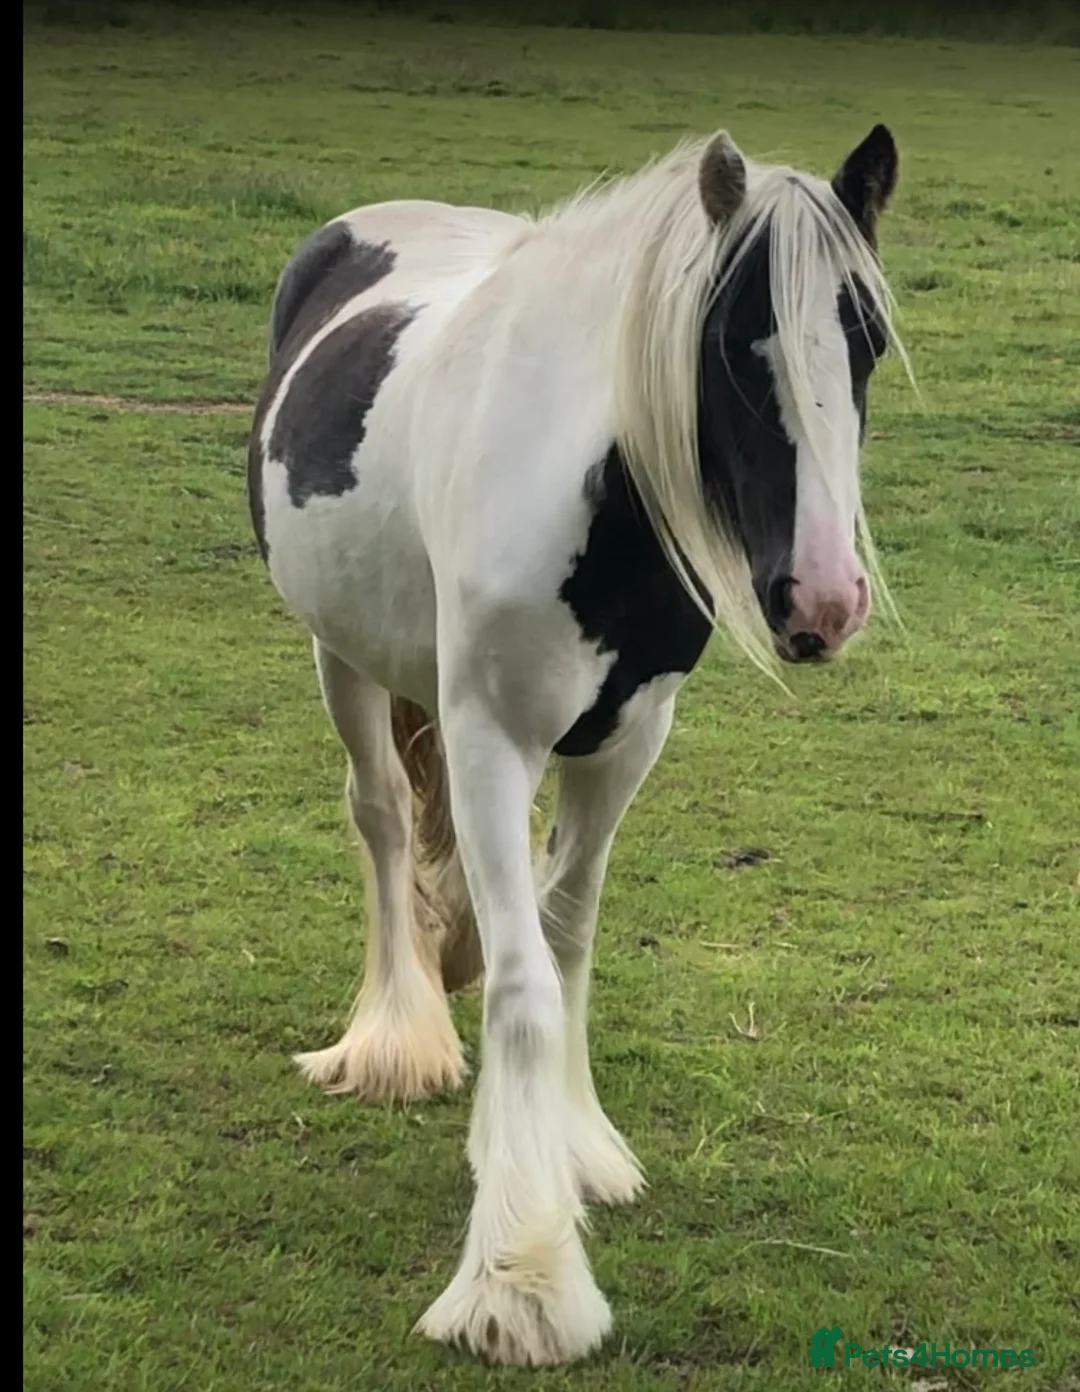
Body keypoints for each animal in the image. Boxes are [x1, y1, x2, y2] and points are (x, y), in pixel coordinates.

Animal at [246, 123, 905, 1366]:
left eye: (869, 341)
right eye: (730, 345)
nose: (826, 600)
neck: (592, 503)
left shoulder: (626, 743)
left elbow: (568, 941)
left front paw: (573, 1148)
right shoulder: (492, 741)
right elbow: (519, 983)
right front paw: (523, 1278)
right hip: (338, 653)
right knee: (383, 822)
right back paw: (395, 1040)